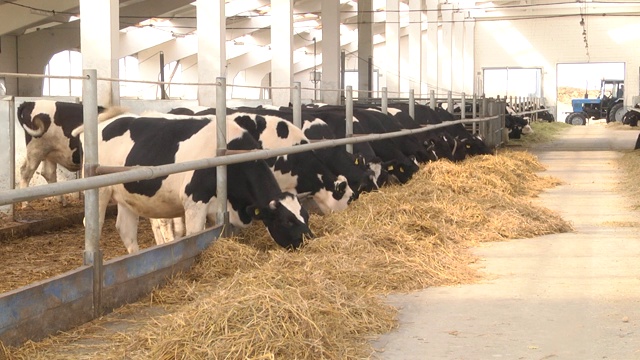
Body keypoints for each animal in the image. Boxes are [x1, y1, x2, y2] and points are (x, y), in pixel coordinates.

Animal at [74, 109, 314, 253]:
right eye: (287, 221)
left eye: (306, 215)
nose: (310, 239)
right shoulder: (195, 202)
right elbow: (194, 235)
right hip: (99, 191)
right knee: (92, 225)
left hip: (128, 197)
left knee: (126, 230)